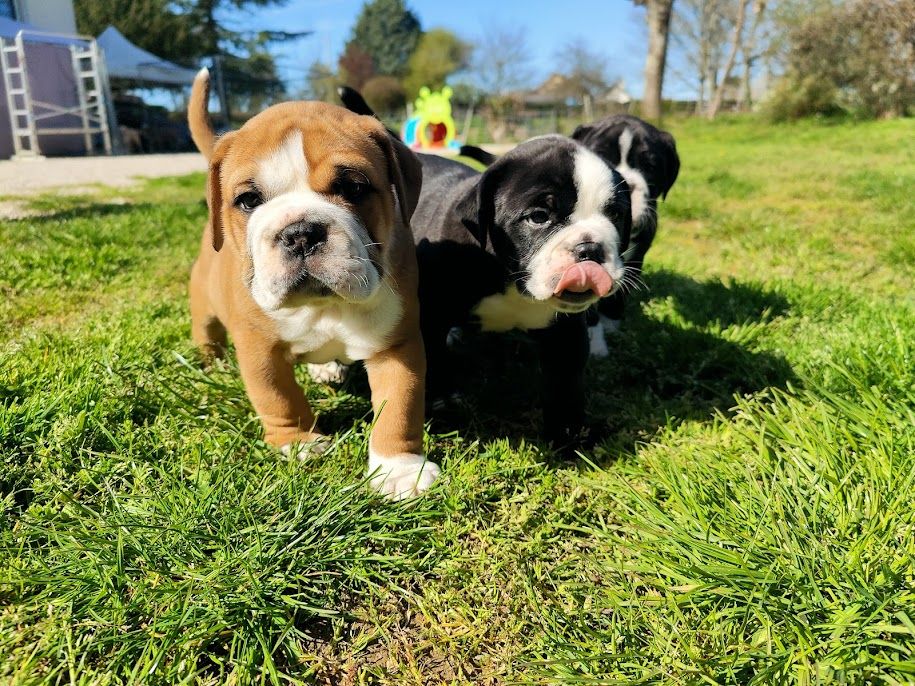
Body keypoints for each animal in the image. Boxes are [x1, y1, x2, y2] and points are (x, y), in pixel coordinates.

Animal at [188, 68, 438, 500]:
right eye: (249, 200)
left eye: (354, 187)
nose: (300, 233)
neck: (324, 306)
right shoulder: (260, 352)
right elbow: (279, 398)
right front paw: (298, 442)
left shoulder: (396, 346)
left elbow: (399, 408)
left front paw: (399, 469)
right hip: (203, 307)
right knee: (207, 333)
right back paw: (212, 362)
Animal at [572, 115, 680, 358]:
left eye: (650, 166)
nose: (622, 184)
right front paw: (596, 343)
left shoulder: (636, 258)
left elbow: (619, 293)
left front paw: (611, 323)